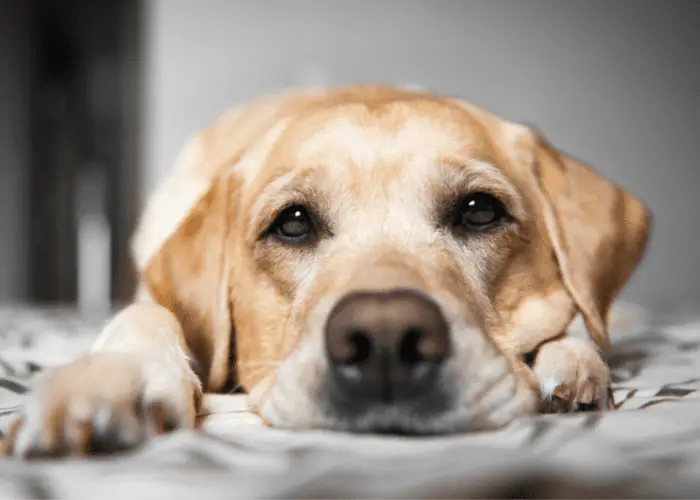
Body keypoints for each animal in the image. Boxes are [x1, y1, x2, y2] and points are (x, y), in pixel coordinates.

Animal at [4, 85, 652, 458]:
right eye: (292, 223)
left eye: (478, 210)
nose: (387, 340)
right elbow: (145, 313)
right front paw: (109, 381)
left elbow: (576, 321)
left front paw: (570, 361)